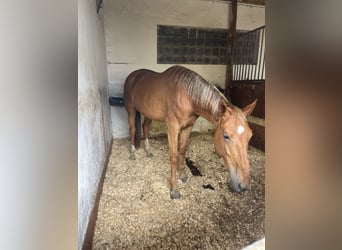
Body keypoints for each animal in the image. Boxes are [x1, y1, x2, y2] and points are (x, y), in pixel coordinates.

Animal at [123, 66, 256, 199]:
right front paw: (174, 190)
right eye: (226, 136)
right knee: (133, 130)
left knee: (145, 127)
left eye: (250, 136)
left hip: (149, 113)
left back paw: (148, 151)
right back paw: (133, 153)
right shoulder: (172, 127)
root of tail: (133, 75)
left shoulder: (188, 127)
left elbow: (182, 150)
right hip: (131, 110)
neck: (187, 95)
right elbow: (174, 156)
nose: (244, 185)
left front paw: (182, 175)